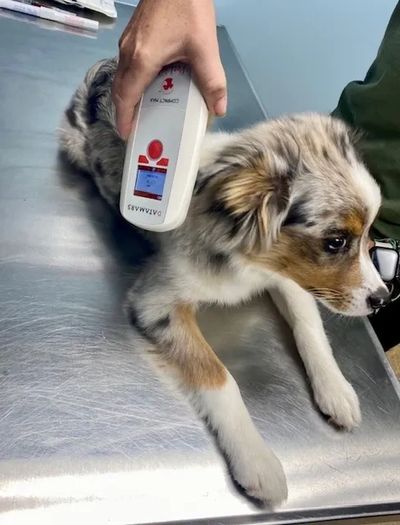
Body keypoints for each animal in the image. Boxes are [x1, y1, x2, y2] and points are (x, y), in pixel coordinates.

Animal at [59, 57, 390, 504]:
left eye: (370, 234)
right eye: (335, 241)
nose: (383, 298)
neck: (248, 262)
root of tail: (107, 67)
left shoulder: (287, 273)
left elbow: (309, 327)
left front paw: (336, 390)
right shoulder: (156, 302)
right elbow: (218, 376)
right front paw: (256, 460)